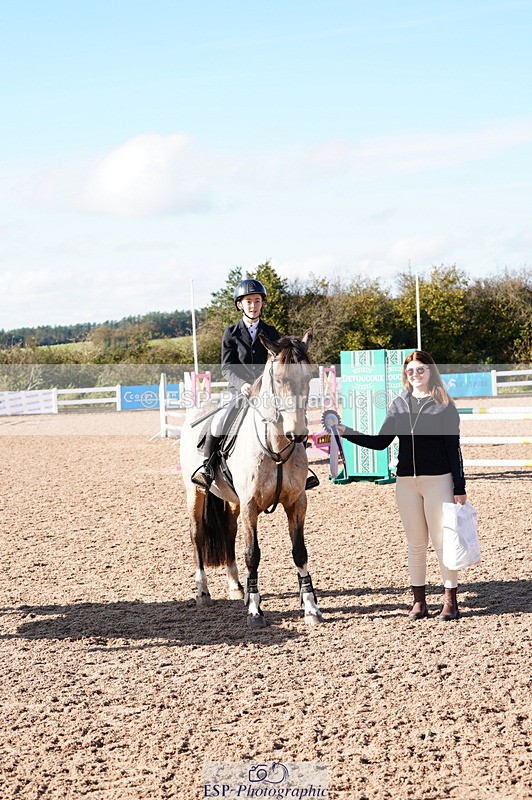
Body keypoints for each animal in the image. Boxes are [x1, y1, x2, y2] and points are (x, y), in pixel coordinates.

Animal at [179, 330, 323, 627]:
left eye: (308, 378)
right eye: (279, 379)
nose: (298, 434)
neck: (276, 447)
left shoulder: (296, 503)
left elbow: (299, 552)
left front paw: (311, 608)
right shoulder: (250, 506)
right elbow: (252, 554)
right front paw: (256, 611)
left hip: (232, 501)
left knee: (229, 532)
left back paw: (237, 587)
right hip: (195, 493)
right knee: (196, 535)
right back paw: (203, 593)